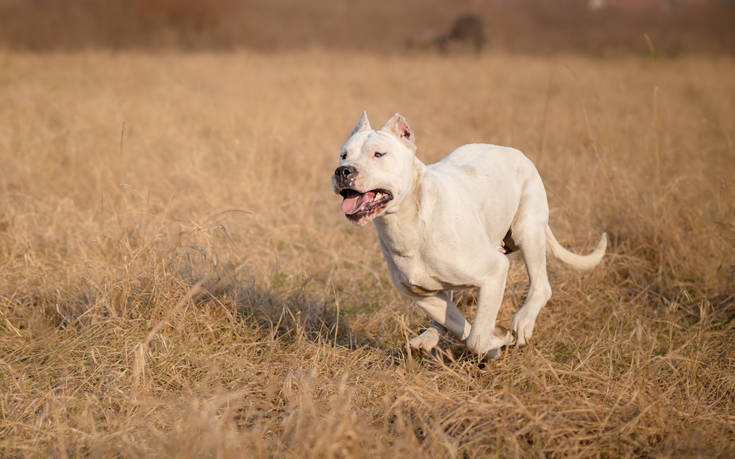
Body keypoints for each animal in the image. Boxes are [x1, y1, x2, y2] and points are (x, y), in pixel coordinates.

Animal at [334, 113, 608, 358]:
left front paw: (498, 340)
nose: (343, 171)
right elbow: (462, 327)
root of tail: (511, 151)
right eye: (344, 154)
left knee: (541, 285)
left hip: (528, 231)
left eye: (379, 154)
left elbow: (475, 338)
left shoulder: (494, 272)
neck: (408, 222)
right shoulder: (421, 295)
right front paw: (495, 342)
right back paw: (428, 338)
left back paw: (522, 323)